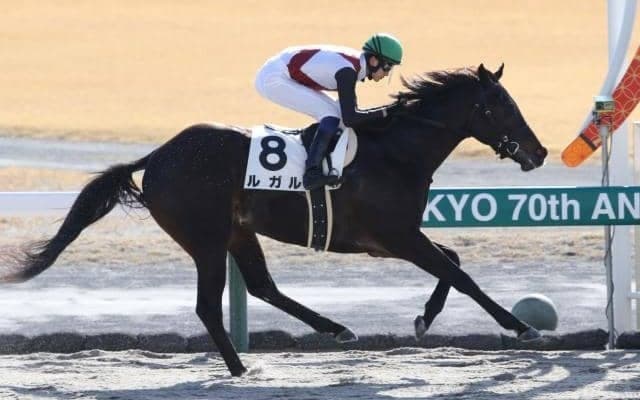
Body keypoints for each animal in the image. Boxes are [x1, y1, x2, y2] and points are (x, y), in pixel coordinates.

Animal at [2, 64, 547, 376]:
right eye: (501, 105)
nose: (539, 152)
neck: (395, 151)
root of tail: (156, 157)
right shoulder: (393, 235)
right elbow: (459, 271)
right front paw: (521, 327)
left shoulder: (393, 238)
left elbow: (451, 262)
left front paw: (424, 318)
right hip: (205, 238)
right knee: (208, 305)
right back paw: (241, 368)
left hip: (238, 231)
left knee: (263, 286)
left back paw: (334, 329)